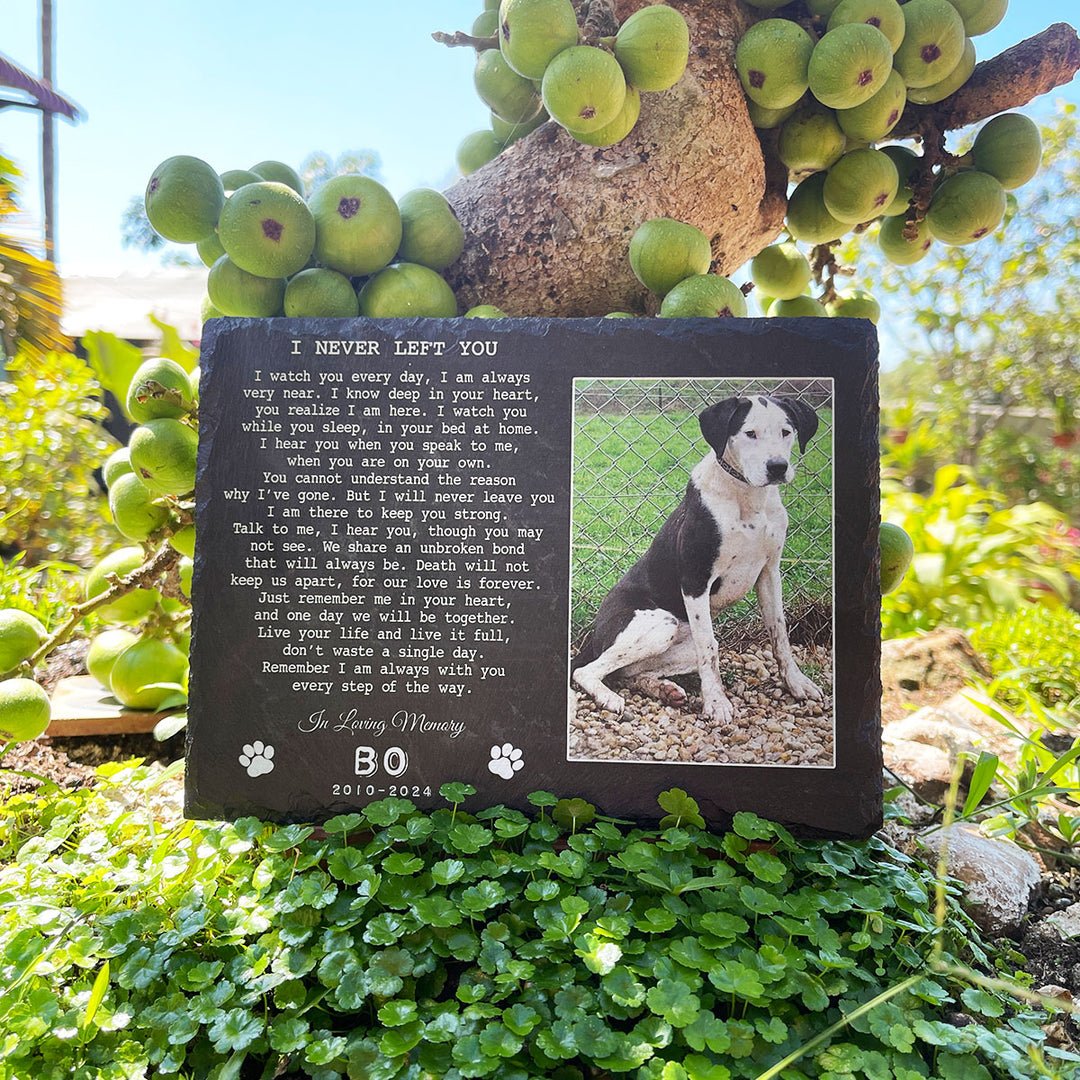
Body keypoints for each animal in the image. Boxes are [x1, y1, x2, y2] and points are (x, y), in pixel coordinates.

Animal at [570, 393, 820, 721]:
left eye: (786, 431)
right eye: (750, 433)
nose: (777, 467)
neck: (747, 498)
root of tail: (595, 632)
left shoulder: (769, 573)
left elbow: (780, 634)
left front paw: (796, 683)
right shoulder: (696, 579)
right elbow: (708, 648)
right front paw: (716, 703)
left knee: (626, 673)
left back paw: (662, 689)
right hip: (660, 624)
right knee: (587, 671)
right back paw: (609, 697)